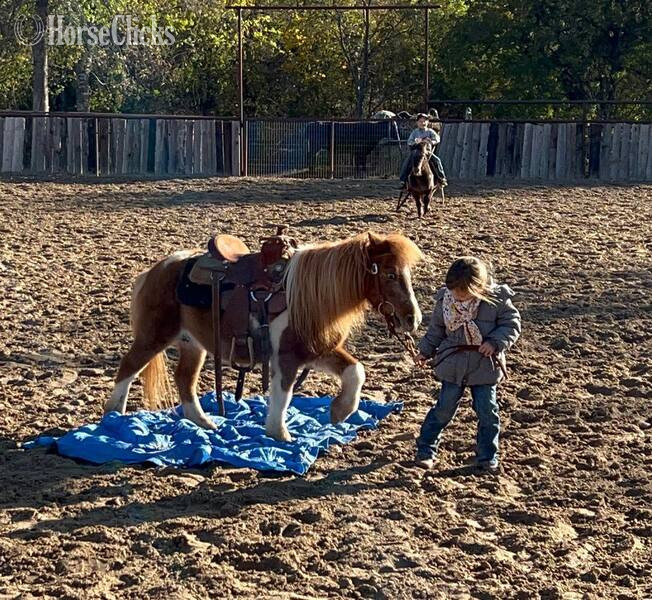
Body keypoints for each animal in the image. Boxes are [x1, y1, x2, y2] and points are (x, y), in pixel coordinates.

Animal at [105, 231, 423, 442]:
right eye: (390, 274)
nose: (414, 319)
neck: (305, 296)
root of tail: (156, 270)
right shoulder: (287, 356)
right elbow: (283, 394)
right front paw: (279, 434)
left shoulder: (316, 350)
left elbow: (355, 371)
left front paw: (340, 411)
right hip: (154, 336)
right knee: (128, 368)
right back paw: (114, 417)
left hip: (192, 344)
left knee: (185, 380)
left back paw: (206, 424)